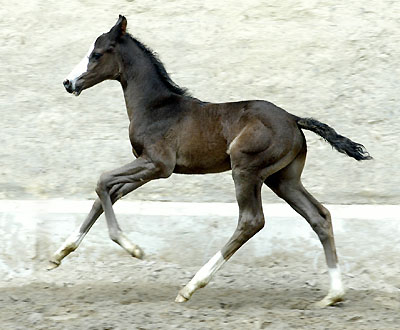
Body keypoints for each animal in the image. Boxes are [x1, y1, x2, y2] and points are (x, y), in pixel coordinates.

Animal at [50, 15, 372, 306]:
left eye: (96, 54)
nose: (68, 82)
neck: (157, 106)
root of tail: (294, 119)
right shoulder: (147, 166)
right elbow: (106, 194)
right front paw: (59, 254)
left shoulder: (159, 165)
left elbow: (102, 180)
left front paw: (133, 249)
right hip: (283, 179)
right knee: (319, 216)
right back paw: (333, 294)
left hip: (246, 170)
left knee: (251, 221)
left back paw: (191, 287)